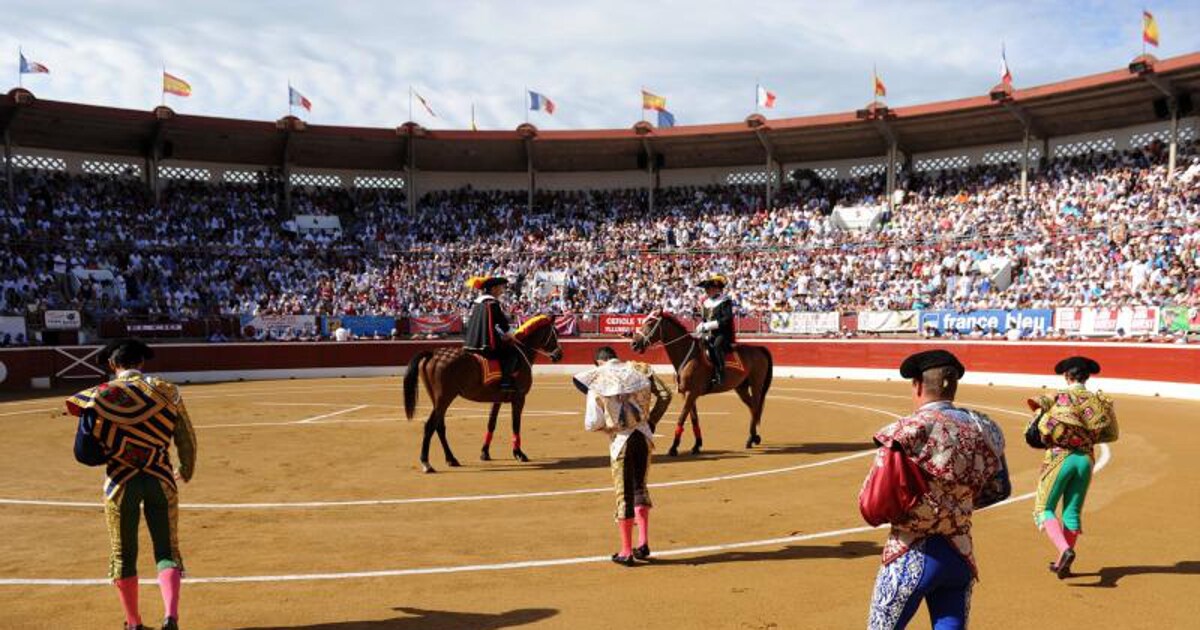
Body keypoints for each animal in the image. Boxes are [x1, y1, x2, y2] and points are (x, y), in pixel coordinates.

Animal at [405, 314, 564, 470]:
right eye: (555, 333)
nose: (559, 355)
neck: (521, 352)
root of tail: (432, 354)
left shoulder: (497, 399)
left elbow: (491, 423)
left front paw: (485, 452)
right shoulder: (519, 398)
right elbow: (515, 424)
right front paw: (519, 453)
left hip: (438, 400)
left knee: (439, 426)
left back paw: (451, 459)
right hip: (444, 398)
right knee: (430, 425)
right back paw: (426, 463)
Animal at [633, 309, 772, 453]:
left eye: (650, 322)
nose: (634, 343)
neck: (689, 356)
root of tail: (758, 348)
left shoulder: (692, 393)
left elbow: (681, 418)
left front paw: (674, 447)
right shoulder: (688, 394)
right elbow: (694, 419)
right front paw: (697, 444)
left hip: (756, 385)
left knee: (755, 406)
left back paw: (752, 438)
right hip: (741, 388)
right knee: (752, 407)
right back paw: (753, 436)